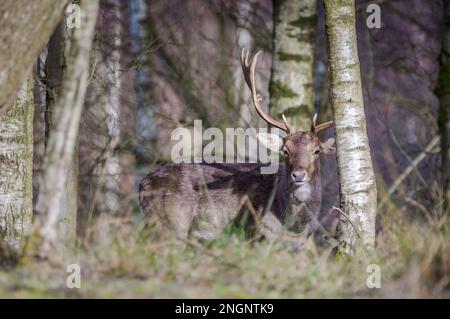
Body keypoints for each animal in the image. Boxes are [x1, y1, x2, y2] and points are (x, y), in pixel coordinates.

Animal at [139, 49, 336, 245]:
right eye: (285, 151)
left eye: (316, 150)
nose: (299, 174)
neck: (294, 226)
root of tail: (142, 185)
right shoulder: (256, 233)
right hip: (171, 220)